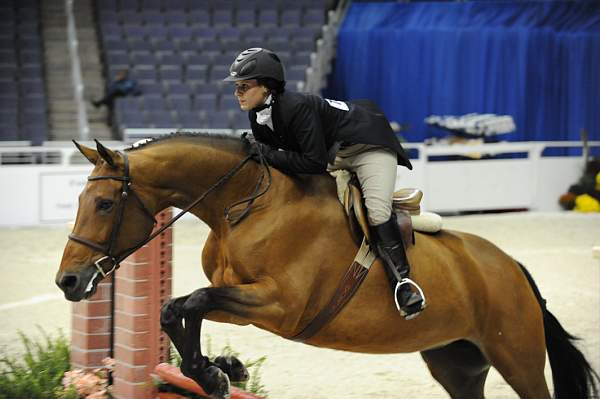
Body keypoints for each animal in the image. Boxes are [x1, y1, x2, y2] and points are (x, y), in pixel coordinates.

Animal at [56, 135, 600, 399]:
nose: (68, 281)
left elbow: (192, 302)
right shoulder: (246, 302)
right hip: (456, 363)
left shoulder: (280, 305)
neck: (243, 204)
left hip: (518, 358)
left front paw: (216, 372)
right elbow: (179, 307)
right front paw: (218, 371)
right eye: (80, 199)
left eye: (104, 203)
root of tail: (514, 269)